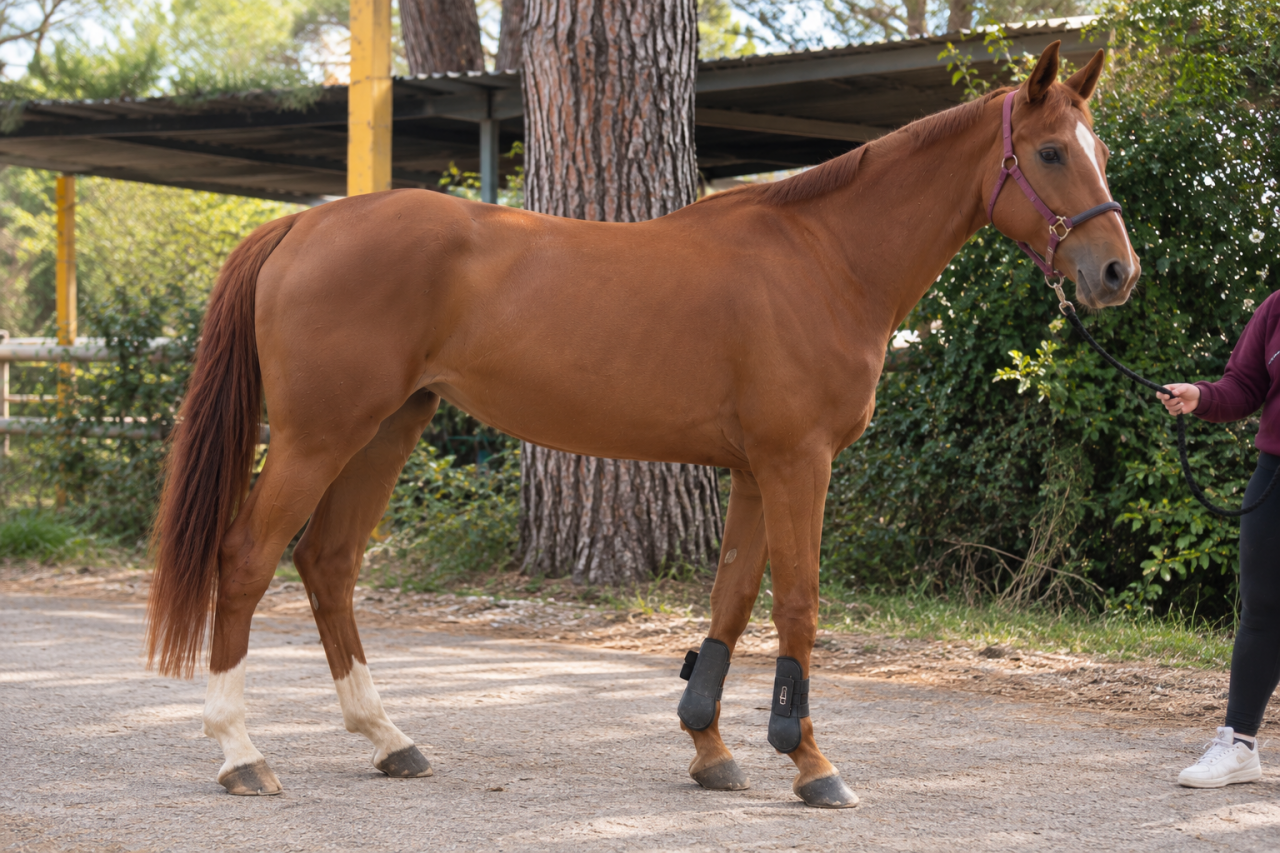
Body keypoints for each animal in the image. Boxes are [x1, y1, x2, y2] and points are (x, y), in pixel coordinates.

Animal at [146, 41, 1138, 807]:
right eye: (1053, 153)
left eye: (1097, 148)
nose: (1117, 273)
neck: (826, 258)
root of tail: (302, 229)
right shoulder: (798, 463)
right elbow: (800, 604)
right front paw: (813, 765)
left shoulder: (753, 470)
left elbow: (731, 601)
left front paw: (711, 749)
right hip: (320, 435)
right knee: (247, 558)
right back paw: (242, 754)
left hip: (387, 427)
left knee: (329, 562)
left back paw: (390, 738)